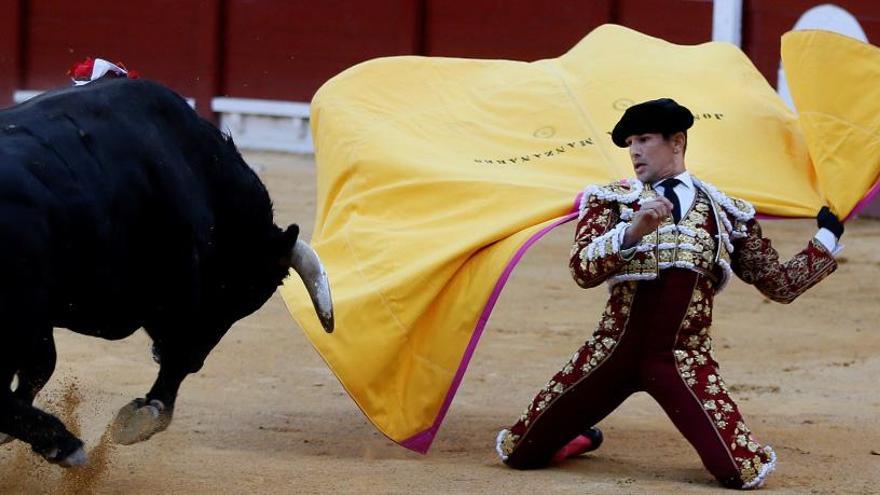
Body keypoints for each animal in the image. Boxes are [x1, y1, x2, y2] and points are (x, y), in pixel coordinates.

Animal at [0, 78, 336, 468]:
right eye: (238, 291)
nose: (201, 360)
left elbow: (37, 368)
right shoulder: (179, 297)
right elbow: (174, 358)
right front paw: (144, 415)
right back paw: (64, 443)